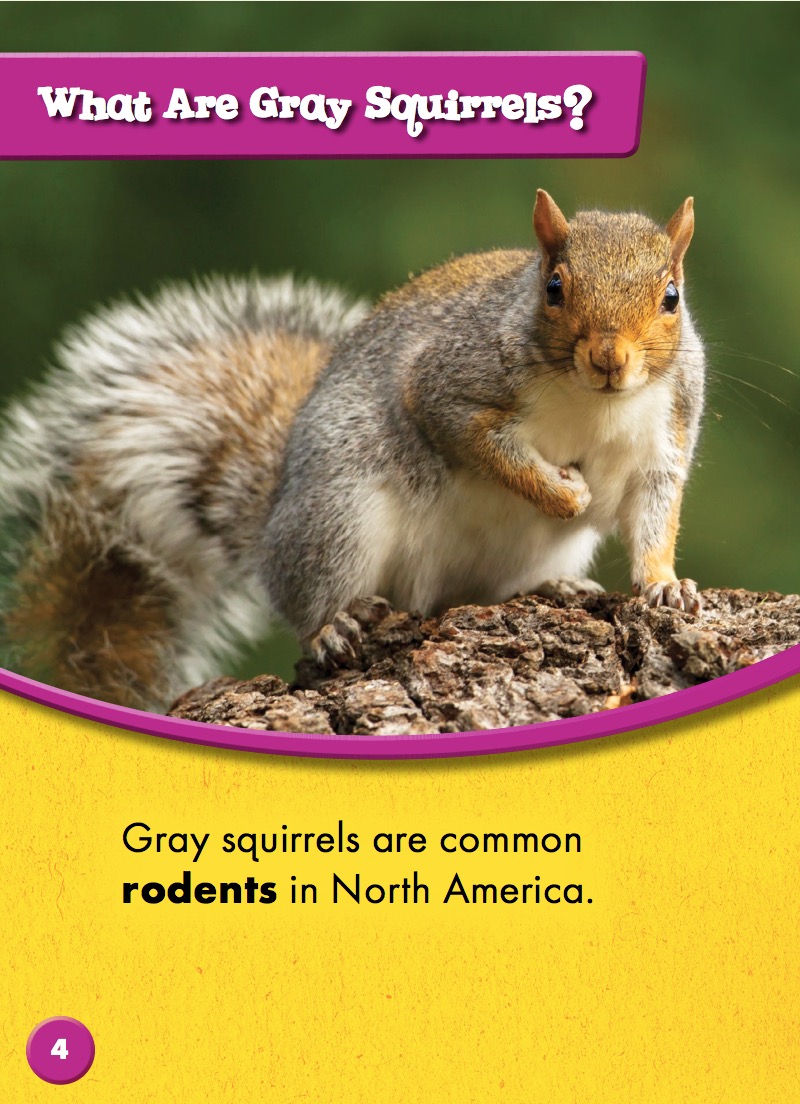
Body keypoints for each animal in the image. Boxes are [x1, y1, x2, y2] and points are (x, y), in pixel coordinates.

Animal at [0, 190, 704, 713]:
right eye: (554, 286)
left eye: (672, 296)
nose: (609, 359)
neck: (595, 403)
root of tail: (273, 520)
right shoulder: (446, 385)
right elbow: (480, 443)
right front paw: (564, 492)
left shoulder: (665, 438)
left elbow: (654, 516)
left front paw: (665, 586)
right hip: (339, 514)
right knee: (307, 596)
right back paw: (332, 625)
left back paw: (557, 585)